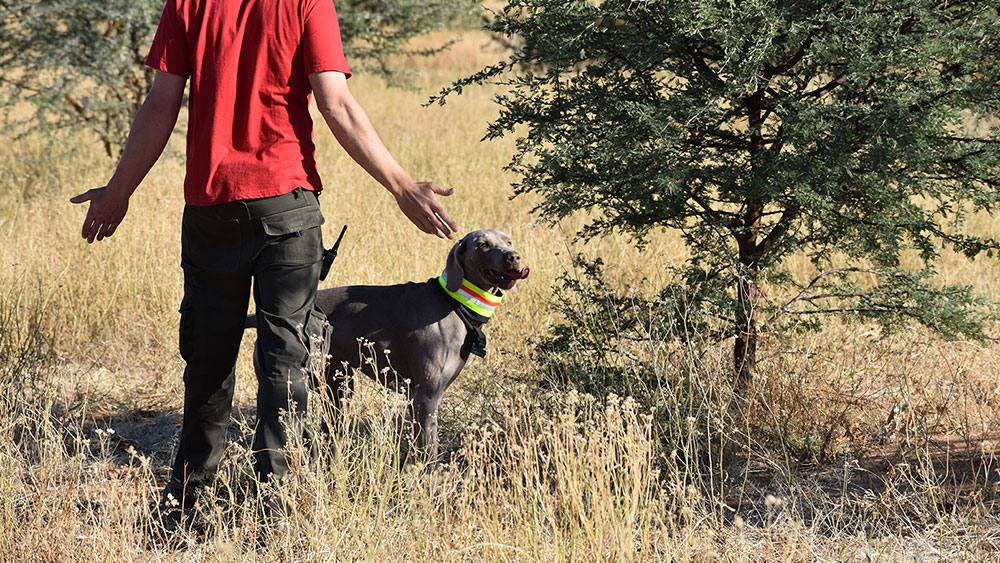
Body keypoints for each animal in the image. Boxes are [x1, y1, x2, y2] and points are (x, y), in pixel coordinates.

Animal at [246, 229, 528, 462]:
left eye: (508, 241)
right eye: (482, 245)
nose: (514, 257)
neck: (455, 301)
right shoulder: (425, 397)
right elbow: (428, 453)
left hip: (339, 386)